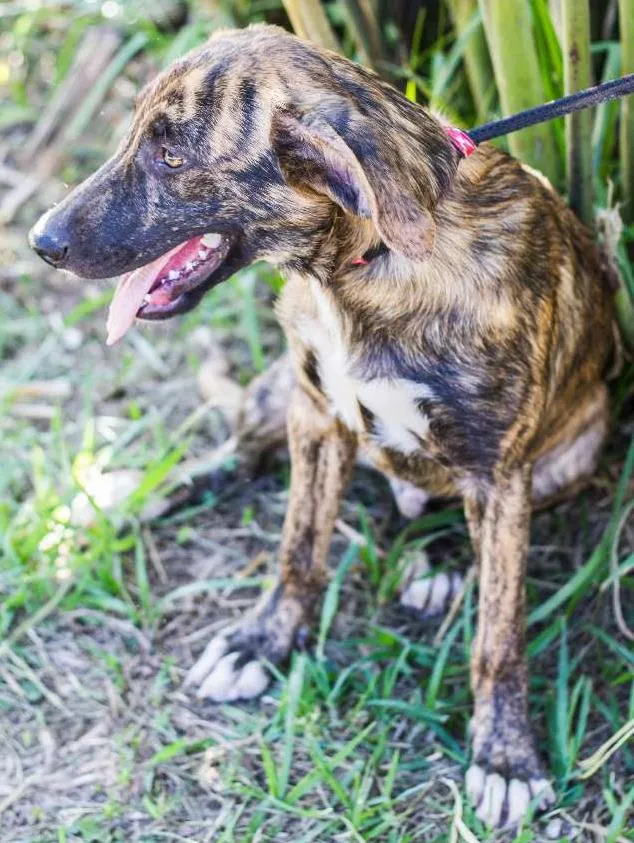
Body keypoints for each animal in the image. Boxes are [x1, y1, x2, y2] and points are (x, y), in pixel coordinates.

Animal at [29, 23, 612, 828]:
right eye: (134, 136)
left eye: (171, 156)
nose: (38, 241)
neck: (370, 266)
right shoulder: (314, 413)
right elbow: (298, 547)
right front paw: (261, 642)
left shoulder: (500, 470)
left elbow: (499, 633)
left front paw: (505, 758)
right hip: (277, 393)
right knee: (235, 454)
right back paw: (118, 506)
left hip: (567, 454)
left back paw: (445, 561)